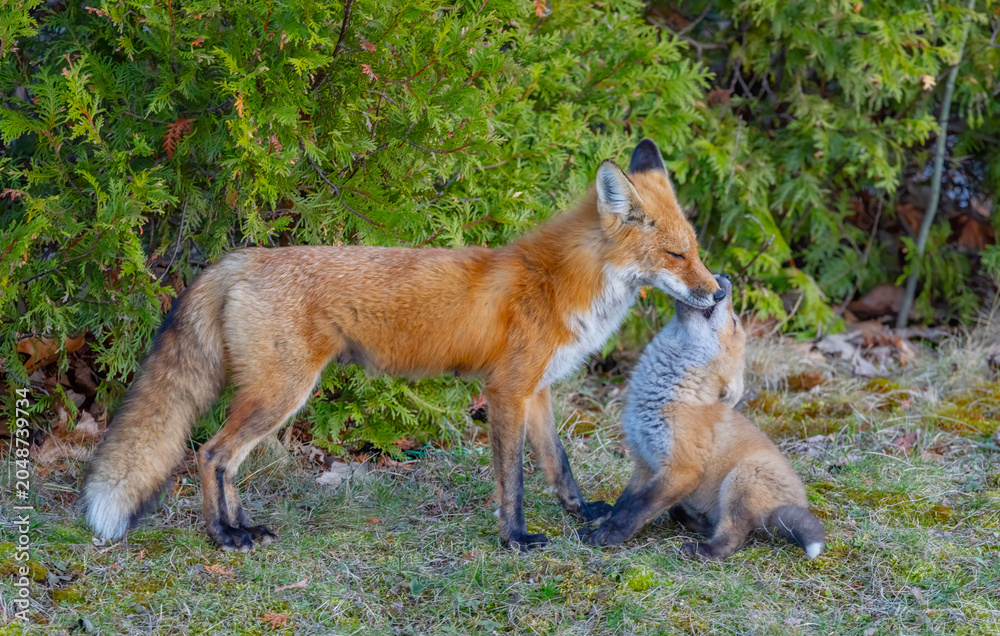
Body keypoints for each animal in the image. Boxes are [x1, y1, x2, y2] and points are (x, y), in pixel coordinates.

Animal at [81, 138, 724, 552]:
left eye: (695, 250)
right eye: (675, 256)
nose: (718, 292)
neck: (561, 284)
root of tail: (241, 257)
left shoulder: (536, 390)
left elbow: (558, 466)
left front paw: (584, 513)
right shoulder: (506, 390)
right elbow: (512, 480)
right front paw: (515, 539)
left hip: (272, 396)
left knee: (227, 462)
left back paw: (244, 528)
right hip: (281, 394)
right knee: (211, 455)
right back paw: (223, 538)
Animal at [578, 274, 825, 560]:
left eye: (733, 322)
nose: (726, 277)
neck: (663, 398)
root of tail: (796, 503)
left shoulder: (682, 469)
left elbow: (636, 507)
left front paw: (610, 534)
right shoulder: (644, 462)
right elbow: (624, 502)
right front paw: (604, 524)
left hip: (741, 480)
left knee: (733, 538)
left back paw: (703, 550)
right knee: (700, 520)